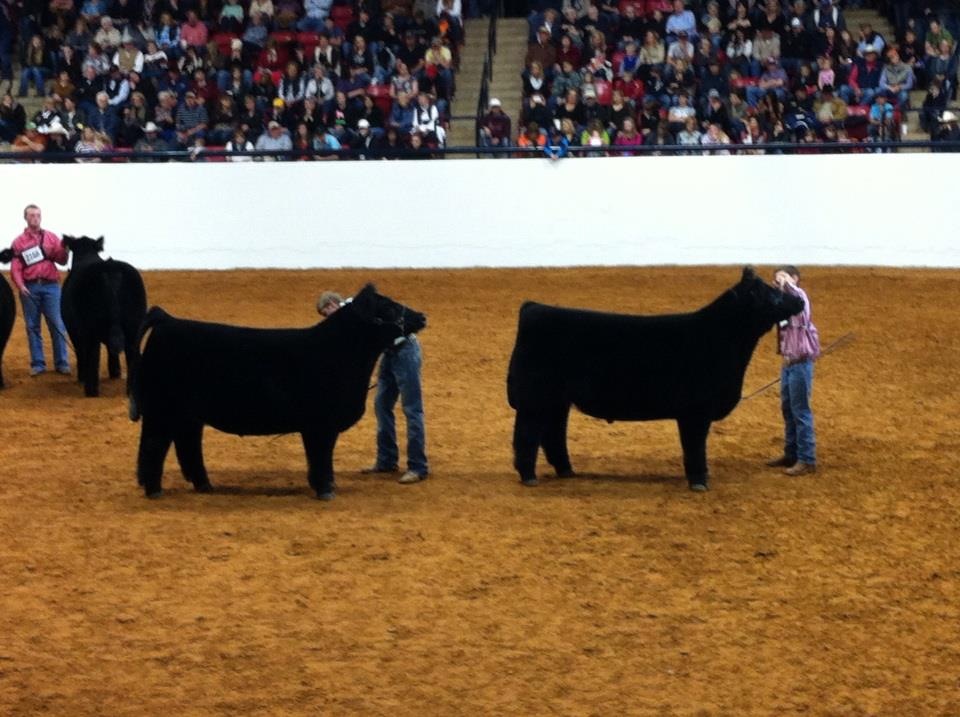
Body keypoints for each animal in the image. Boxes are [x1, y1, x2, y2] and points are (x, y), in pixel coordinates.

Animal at [61, 235, 147, 404]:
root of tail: (110, 268)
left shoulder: (73, 329)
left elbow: (81, 351)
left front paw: (82, 376)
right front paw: (115, 372)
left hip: (90, 329)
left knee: (92, 355)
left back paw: (90, 390)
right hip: (134, 326)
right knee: (131, 354)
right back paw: (130, 391)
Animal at [132, 284, 427, 501]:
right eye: (388, 307)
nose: (422, 316)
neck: (338, 350)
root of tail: (169, 321)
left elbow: (321, 457)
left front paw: (326, 485)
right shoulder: (320, 425)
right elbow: (321, 456)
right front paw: (325, 490)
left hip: (187, 415)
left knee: (187, 445)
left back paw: (204, 485)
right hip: (161, 410)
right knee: (154, 446)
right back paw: (154, 490)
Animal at [506, 267, 805, 491]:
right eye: (774, 295)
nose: (800, 301)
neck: (720, 338)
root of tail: (533, 307)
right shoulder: (695, 412)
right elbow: (694, 447)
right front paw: (699, 482)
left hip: (557, 400)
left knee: (552, 434)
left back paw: (566, 470)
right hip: (535, 399)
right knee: (527, 435)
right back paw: (529, 476)